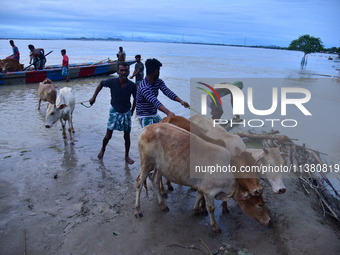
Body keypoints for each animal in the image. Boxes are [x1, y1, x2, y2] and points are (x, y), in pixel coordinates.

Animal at [134, 123, 270, 233]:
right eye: (259, 205)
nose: (269, 221)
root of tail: (147, 128)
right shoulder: (209, 192)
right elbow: (211, 208)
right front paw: (215, 226)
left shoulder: (201, 188)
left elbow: (198, 196)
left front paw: (196, 210)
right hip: (146, 163)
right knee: (139, 183)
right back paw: (138, 210)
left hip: (159, 167)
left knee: (155, 180)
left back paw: (162, 204)